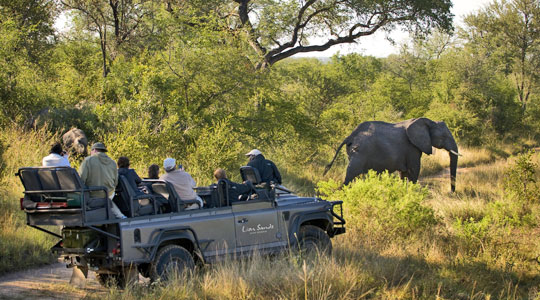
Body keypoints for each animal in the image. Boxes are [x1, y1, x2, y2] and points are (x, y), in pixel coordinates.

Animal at [322, 118, 462, 192]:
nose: (451, 192)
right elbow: (414, 170)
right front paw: (413, 192)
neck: (428, 122)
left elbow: (404, 174)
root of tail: (350, 136)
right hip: (359, 153)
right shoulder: (412, 148)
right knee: (351, 174)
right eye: (444, 137)